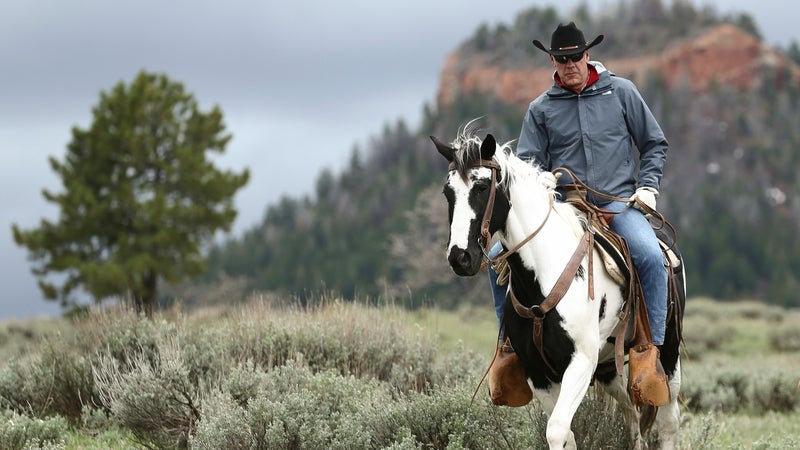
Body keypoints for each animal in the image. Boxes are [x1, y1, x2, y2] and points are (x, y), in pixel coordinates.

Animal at [434, 128, 684, 448]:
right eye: (448, 192)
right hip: (607, 367)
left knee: (668, 421)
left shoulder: (580, 362)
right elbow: (566, 432)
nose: (460, 257)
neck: (545, 274)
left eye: (481, 186)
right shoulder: (538, 371)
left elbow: (556, 429)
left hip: (668, 356)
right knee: (631, 412)